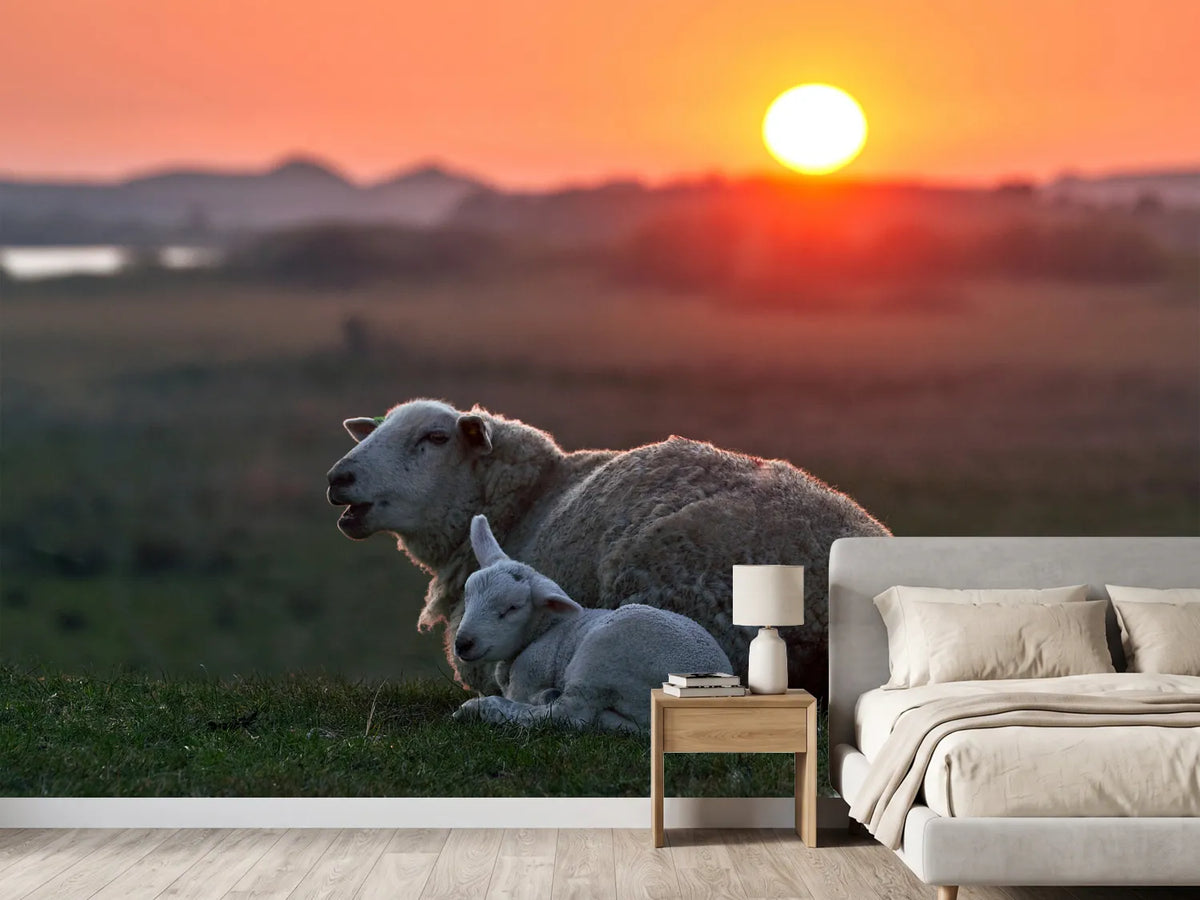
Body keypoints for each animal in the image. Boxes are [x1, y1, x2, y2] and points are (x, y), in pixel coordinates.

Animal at [451, 515, 731, 731]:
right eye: (467, 595)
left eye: (512, 608)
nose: (463, 643)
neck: (543, 631)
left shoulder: (528, 676)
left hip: (599, 659)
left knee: (568, 716)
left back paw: (479, 708)